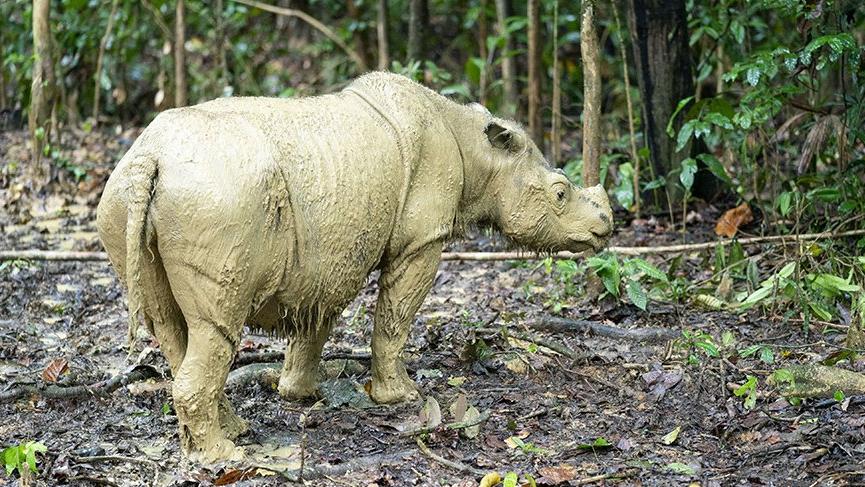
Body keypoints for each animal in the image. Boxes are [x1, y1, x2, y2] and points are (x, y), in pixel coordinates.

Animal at [96, 71, 616, 462]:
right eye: (560, 193)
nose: (605, 230)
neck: (476, 150)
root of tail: (149, 159)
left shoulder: (325, 253)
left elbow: (316, 320)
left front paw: (299, 393)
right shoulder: (421, 240)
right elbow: (394, 318)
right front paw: (402, 397)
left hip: (122, 198)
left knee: (173, 326)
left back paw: (233, 433)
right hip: (218, 202)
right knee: (216, 327)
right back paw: (225, 457)